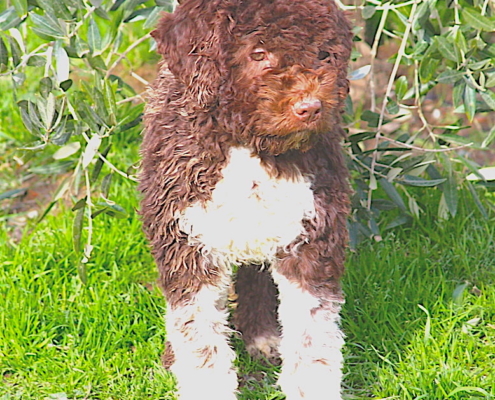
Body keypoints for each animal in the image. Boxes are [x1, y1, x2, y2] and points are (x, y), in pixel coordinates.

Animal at [140, 1, 352, 398]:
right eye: (258, 53)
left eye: (323, 53)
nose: (310, 107)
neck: (249, 146)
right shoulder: (188, 240)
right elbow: (199, 336)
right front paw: (205, 386)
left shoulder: (311, 234)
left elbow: (312, 332)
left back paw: (263, 337)